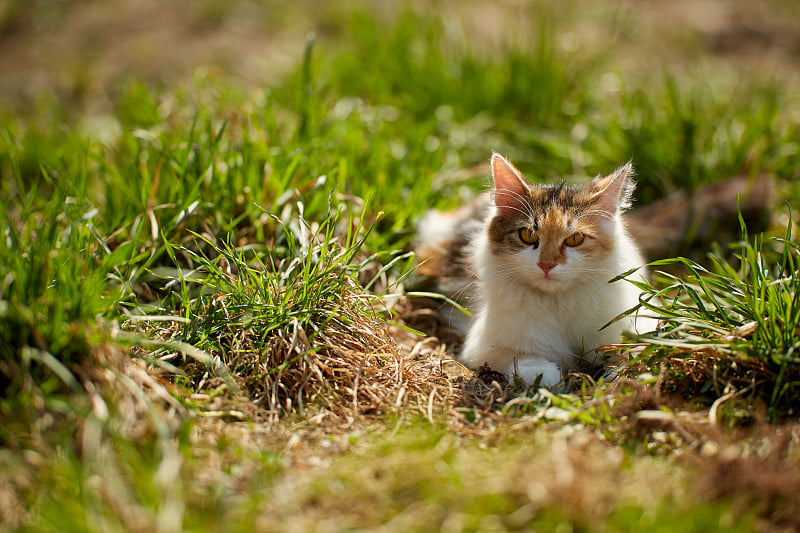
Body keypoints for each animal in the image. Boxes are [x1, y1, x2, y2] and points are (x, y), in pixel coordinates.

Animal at [416, 152, 652, 384]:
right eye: (527, 235)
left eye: (575, 239)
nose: (546, 264)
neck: (557, 302)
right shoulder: (487, 345)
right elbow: (529, 363)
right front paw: (550, 377)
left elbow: (631, 349)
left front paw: (620, 373)